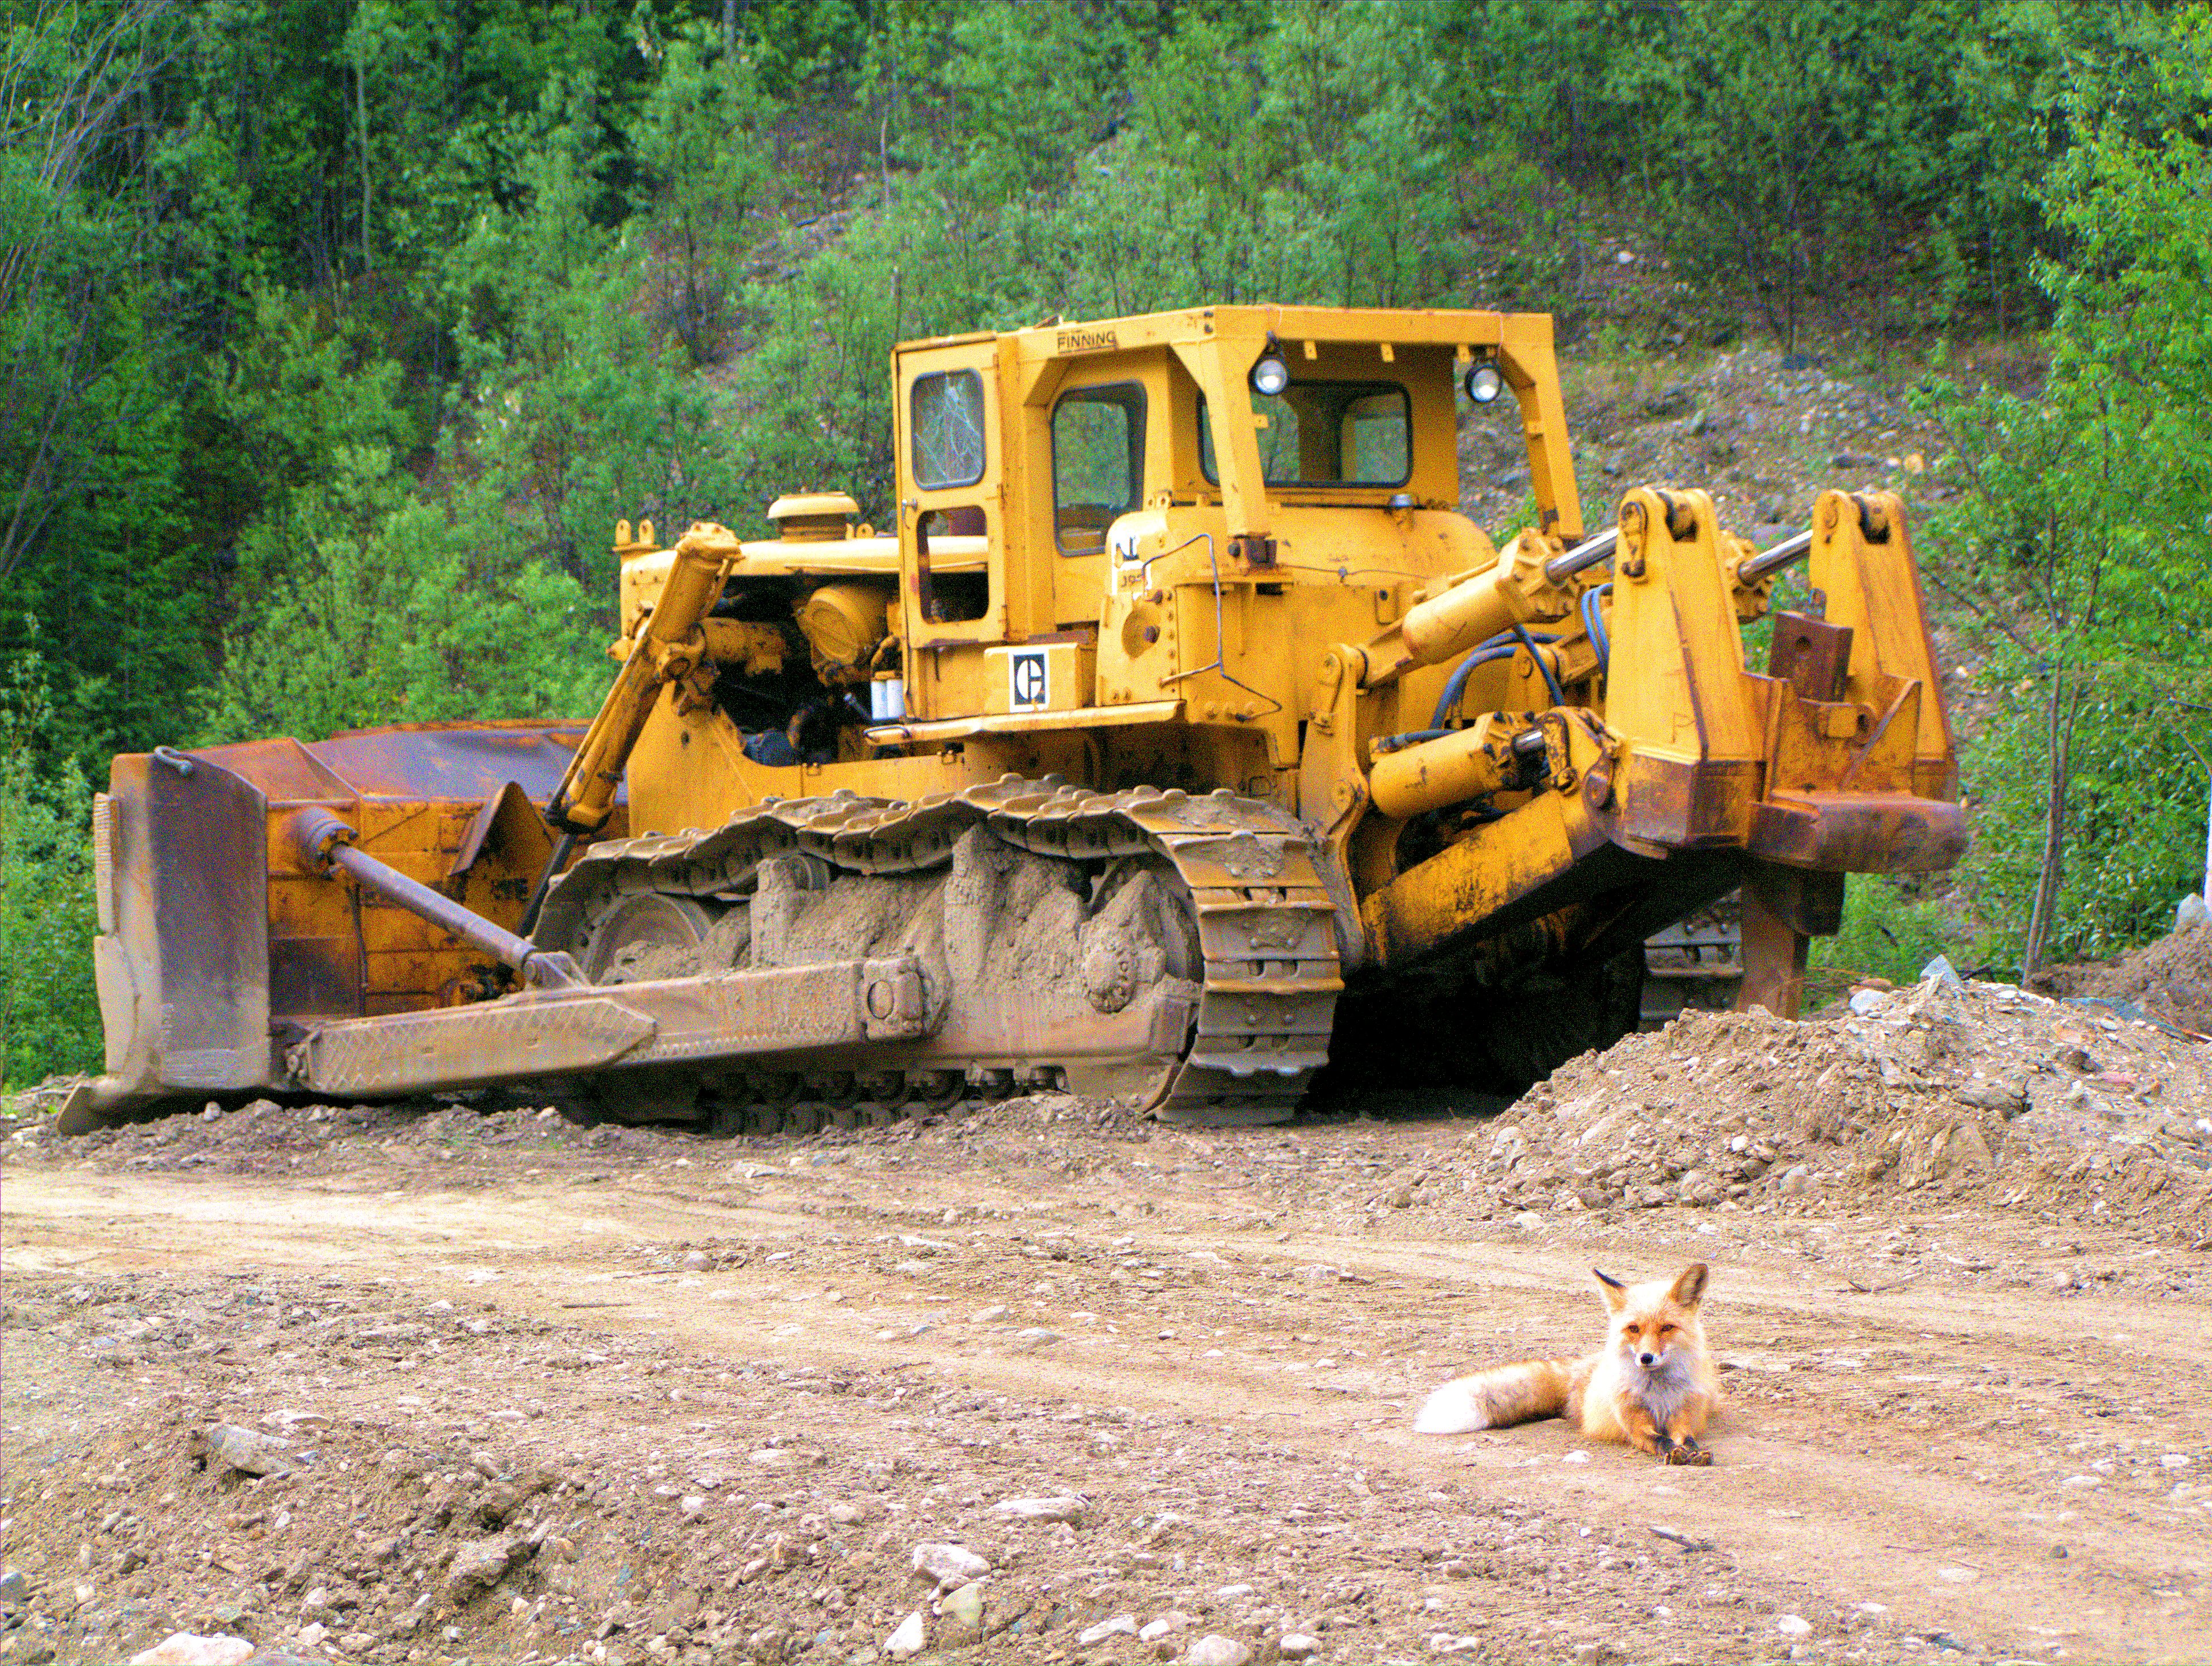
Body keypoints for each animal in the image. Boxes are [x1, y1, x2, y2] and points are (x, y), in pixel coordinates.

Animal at [1415, 1265, 1725, 1460]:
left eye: (1667, 1328)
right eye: (1634, 1329)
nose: (1646, 1358)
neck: (1658, 1392)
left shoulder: (1685, 1413)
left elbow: (1686, 1438)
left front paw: (1694, 1451)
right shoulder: (1630, 1420)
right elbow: (1656, 1439)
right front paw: (1671, 1451)